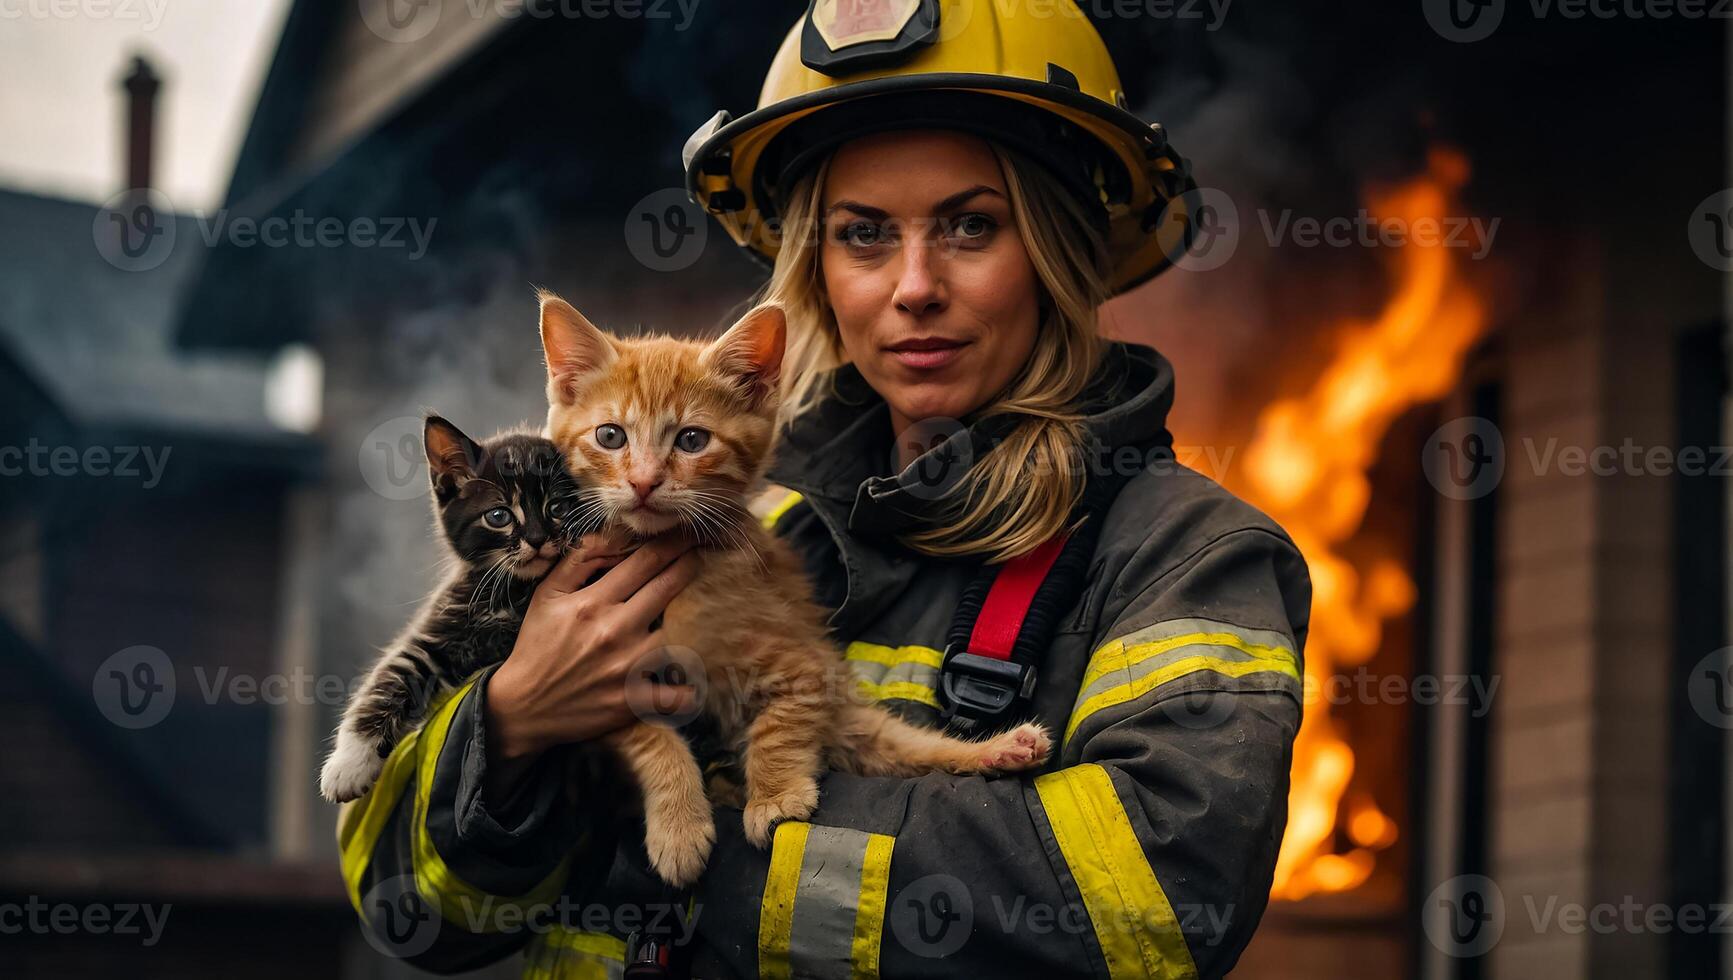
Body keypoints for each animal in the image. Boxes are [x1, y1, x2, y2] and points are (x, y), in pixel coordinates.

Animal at [325, 412, 589, 801]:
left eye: (557, 508)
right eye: (499, 516)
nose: (538, 539)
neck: (513, 590)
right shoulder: (439, 633)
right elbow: (388, 677)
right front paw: (349, 763)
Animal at [533, 293, 1046, 888]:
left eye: (692, 440)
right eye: (610, 436)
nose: (643, 482)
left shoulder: (804, 664)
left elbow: (778, 728)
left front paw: (774, 796)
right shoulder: (603, 688)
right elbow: (653, 740)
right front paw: (678, 826)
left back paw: (1006, 749)